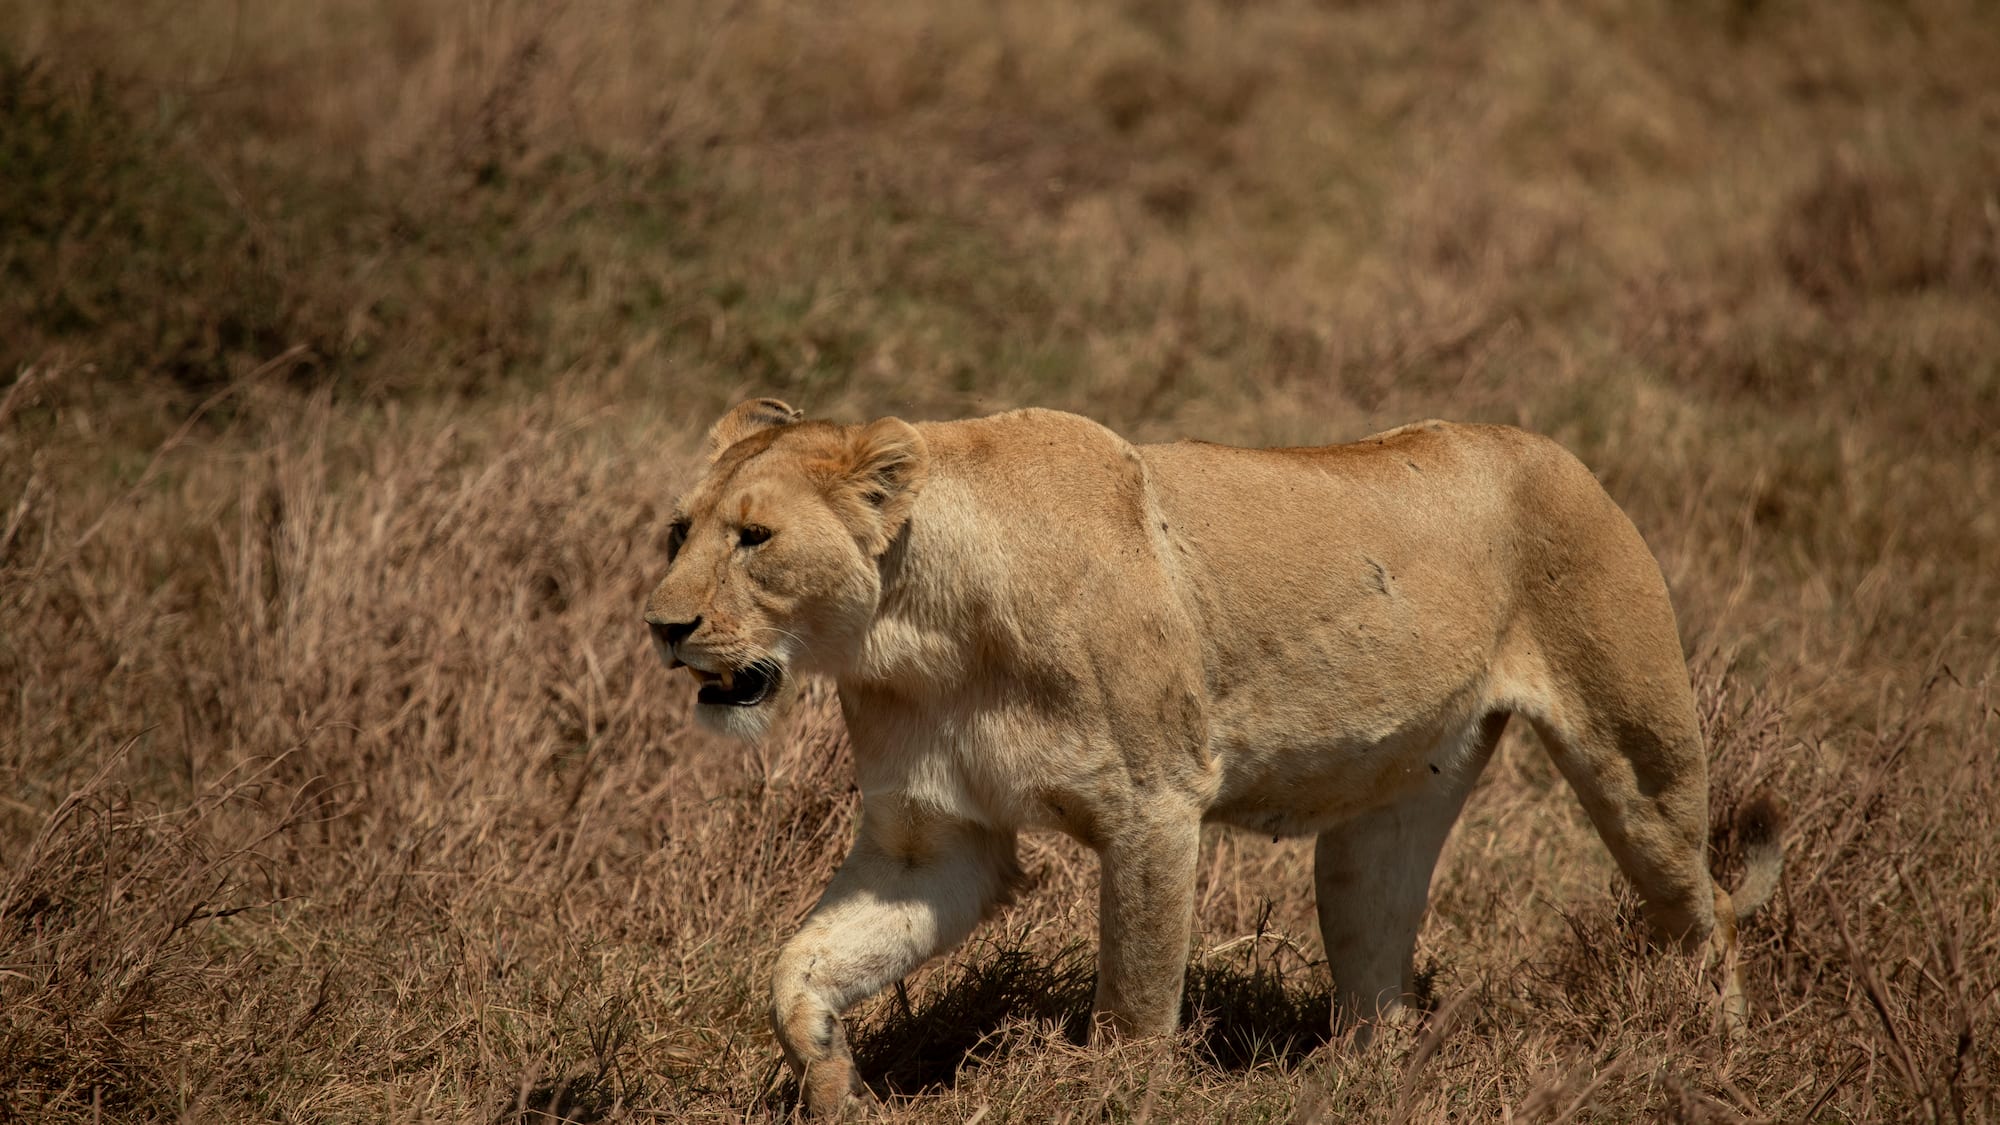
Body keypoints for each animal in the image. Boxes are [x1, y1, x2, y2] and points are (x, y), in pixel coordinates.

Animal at [644, 399, 1784, 1116]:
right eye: (676, 531)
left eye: (754, 537)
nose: (661, 625)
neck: (914, 635)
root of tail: (1560, 452)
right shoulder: (937, 840)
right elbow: (798, 968)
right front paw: (836, 1087)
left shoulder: (1154, 805)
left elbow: (1136, 998)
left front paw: (1104, 1097)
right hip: (1379, 828)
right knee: (1379, 985)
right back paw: (1351, 1087)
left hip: (1638, 755)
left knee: (1705, 911)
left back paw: (1719, 1057)